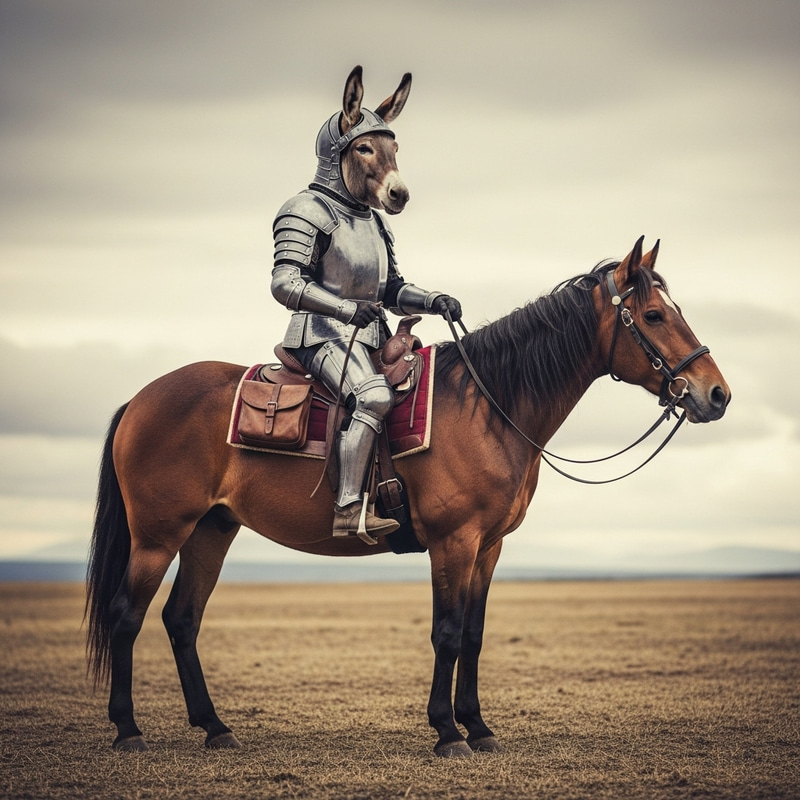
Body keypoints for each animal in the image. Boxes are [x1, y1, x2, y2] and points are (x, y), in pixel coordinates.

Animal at [85, 236, 730, 757]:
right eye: (653, 314)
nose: (715, 394)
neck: (489, 404)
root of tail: (141, 399)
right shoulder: (453, 541)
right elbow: (446, 632)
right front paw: (447, 733)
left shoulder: (488, 547)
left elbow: (472, 634)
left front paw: (478, 727)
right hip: (158, 536)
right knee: (126, 616)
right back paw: (128, 730)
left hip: (211, 530)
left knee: (181, 619)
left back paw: (215, 727)